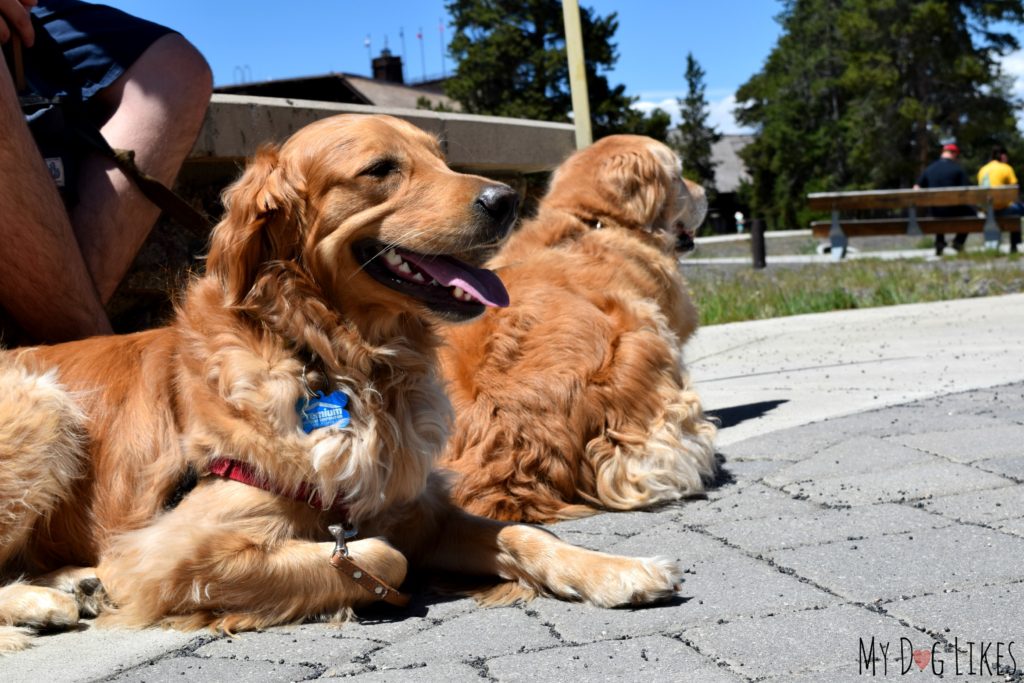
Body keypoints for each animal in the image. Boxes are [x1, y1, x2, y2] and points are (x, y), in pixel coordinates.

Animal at [2, 114, 688, 655]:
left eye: (439, 155)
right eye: (381, 169)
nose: (505, 200)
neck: (335, 358)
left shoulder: (418, 508)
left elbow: (522, 532)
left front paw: (615, 570)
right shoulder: (165, 555)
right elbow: (383, 557)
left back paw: (71, 584)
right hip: (43, 404)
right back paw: (43, 602)